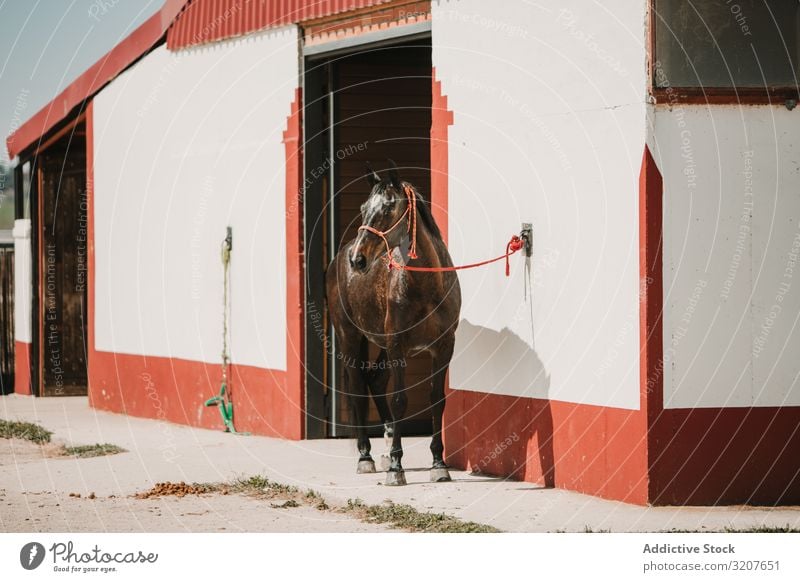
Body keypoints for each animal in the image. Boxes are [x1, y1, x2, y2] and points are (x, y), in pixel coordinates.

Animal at [324, 162, 462, 486]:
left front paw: (439, 464)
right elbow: (400, 400)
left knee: (375, 380)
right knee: (358, 385)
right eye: (363, 207)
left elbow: (437, 400)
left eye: (388, 207)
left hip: (385, 345)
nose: (358, 260)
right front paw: (396, 468)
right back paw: (366, 457)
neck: (426, 285)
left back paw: (386, 445)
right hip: (351, 337)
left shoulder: (443, 346)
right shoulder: (398, 343)